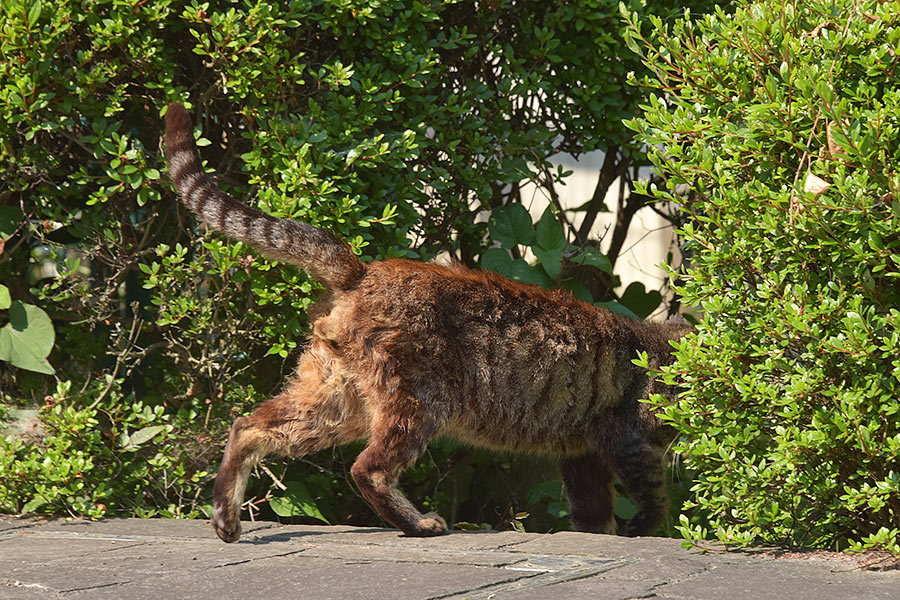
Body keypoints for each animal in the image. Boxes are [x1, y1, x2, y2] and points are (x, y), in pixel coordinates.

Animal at [165, 101, 692, 540]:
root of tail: (361, 270)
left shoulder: (583, 457)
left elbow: (593, 515)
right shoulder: (632, 443)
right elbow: (653, 500)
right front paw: (641, 530)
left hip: (334, 401)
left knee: (247, 426)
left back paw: (226, 519)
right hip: (416, 401)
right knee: (367, 468)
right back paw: (419, 524)